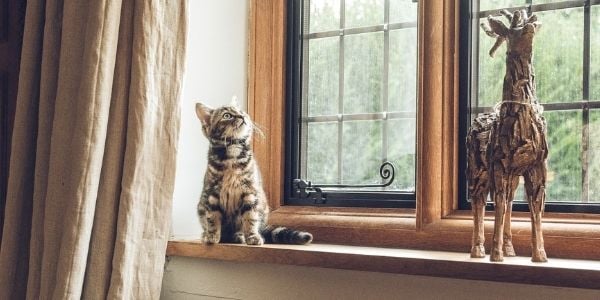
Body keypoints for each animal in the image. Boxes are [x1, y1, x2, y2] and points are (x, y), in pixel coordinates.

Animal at [195, 97, 314, 245]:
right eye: (227, 115)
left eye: (241, 111)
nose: (242, 116)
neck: (233, 154)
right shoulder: (211, 194)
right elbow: (212, 218)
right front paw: (211, 236)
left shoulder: (250, 193)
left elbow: (250, 218)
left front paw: (252, 236)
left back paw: (239, 236)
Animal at [468, 9, 548, 262]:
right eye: (513, 29)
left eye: (529, 21)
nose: (530, 27)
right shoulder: (499, 167)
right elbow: (500, 207)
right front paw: (496, 254)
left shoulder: (535, 167)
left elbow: (535, 208)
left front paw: (540, 255)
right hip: (478, 172)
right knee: (479, 202)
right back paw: (478, 250)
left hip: (508, 175)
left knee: (510, 202)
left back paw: (510, 249)